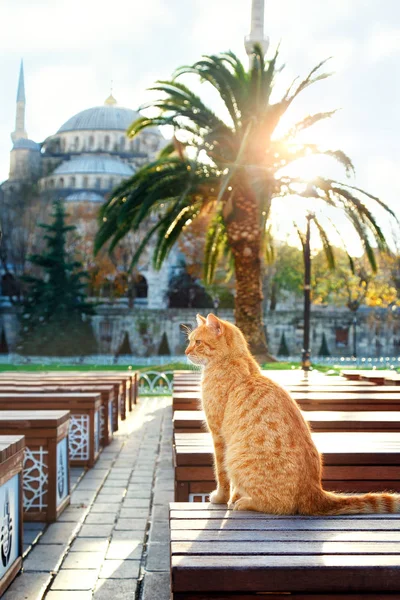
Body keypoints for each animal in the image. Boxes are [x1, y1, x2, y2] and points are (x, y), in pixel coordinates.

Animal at [187, 314, 400, 516]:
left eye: (197, 342)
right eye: (190, 341)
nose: (186, 352)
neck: (234, 359)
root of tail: (315, 491)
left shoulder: (218, 434)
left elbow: (221, 473)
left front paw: (221, 498)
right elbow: (234, 484)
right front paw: (231, 498)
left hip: (236, 458)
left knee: (280, 506)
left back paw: (246, 503)